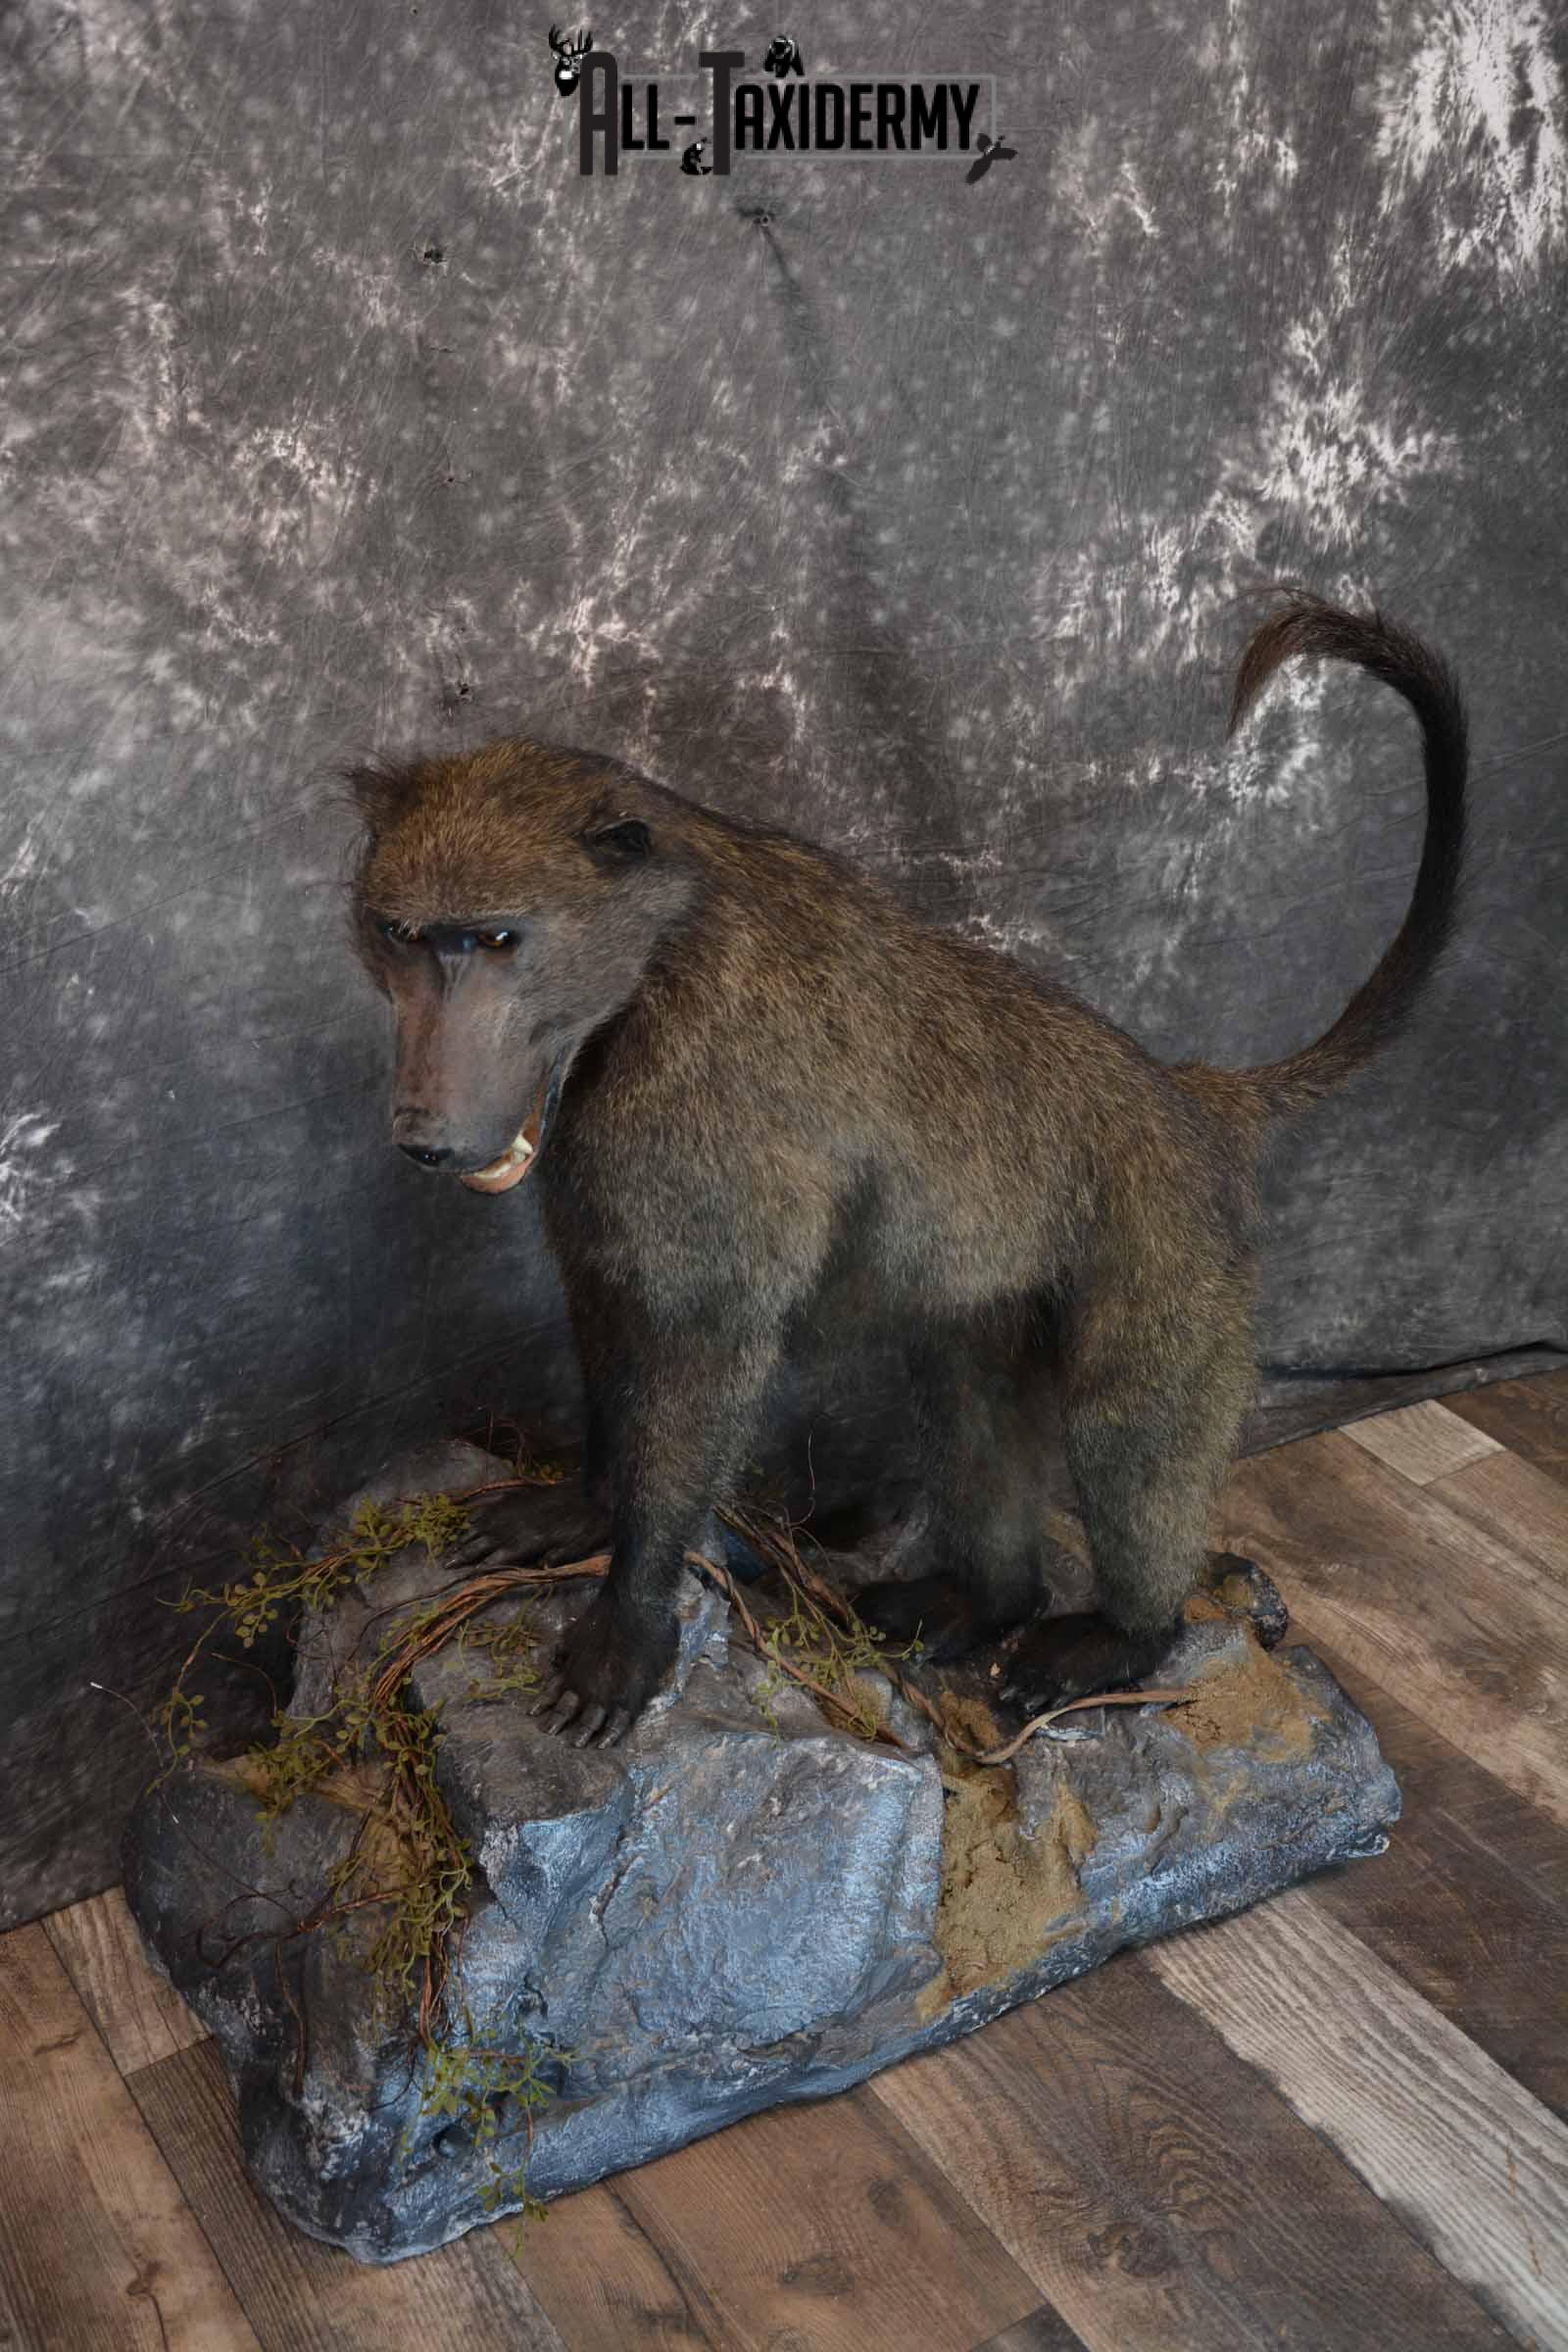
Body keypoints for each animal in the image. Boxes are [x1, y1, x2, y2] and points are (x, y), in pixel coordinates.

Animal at [346, 592, 1466, 1748]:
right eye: (401, 934)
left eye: (495, 939)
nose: (427, 1132)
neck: (653, 959)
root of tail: (1184, 1094)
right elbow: (606, 1308)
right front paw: (579, 1507)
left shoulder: (706, 1127)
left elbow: (705, 1349)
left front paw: (627, 1630)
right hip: (1001, 1303)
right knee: (971, 1396)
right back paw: (985, 1603)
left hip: (1171, 1248)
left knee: (1125, 1430)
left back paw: (1121, 1637)